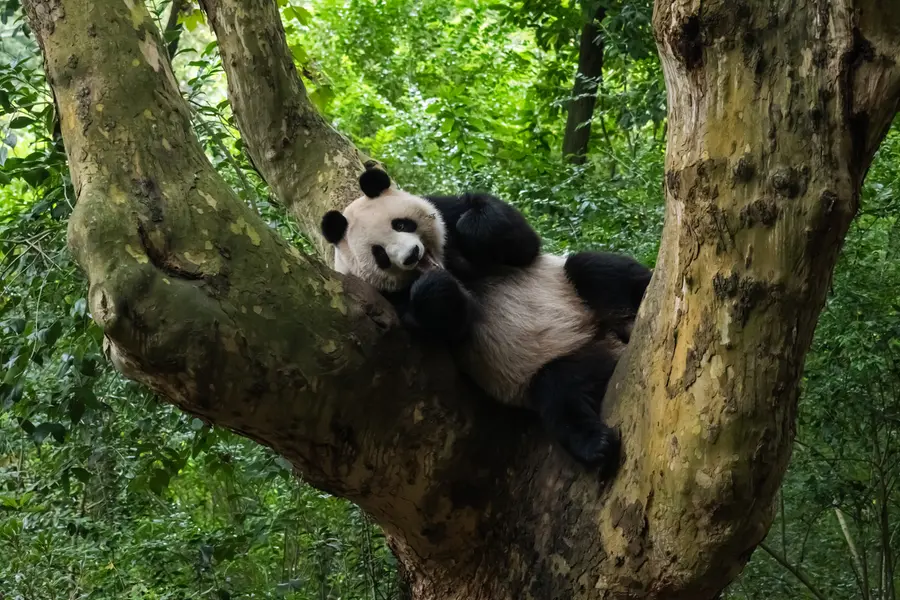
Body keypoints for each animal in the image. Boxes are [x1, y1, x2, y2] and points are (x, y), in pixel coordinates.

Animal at [320, 168, 651, 474]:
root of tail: (610, 346)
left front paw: (475, 231)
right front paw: (435, 288)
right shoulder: (386, 300)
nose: (412, 255)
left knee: (594, 269)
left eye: (401, 224)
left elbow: (517, 239)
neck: (446, 264)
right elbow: (445, 322)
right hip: (559, 367)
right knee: (559, 392)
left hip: (576, 295)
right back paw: (596, 444)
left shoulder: (448, 214)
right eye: (380, 255)